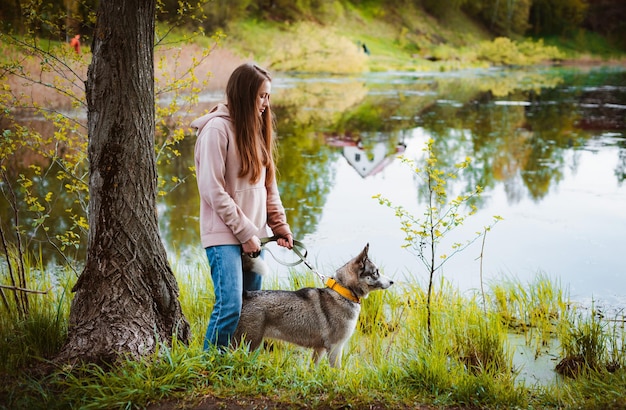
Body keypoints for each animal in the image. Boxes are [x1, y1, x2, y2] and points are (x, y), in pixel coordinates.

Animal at [234, 243, 390, 368]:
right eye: (376, 272)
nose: (392, 282)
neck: (343, 292)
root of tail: (245, 294)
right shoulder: (335, 347)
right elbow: (338, 372)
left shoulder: (319, 349)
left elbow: (312, 369)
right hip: (248, 343)